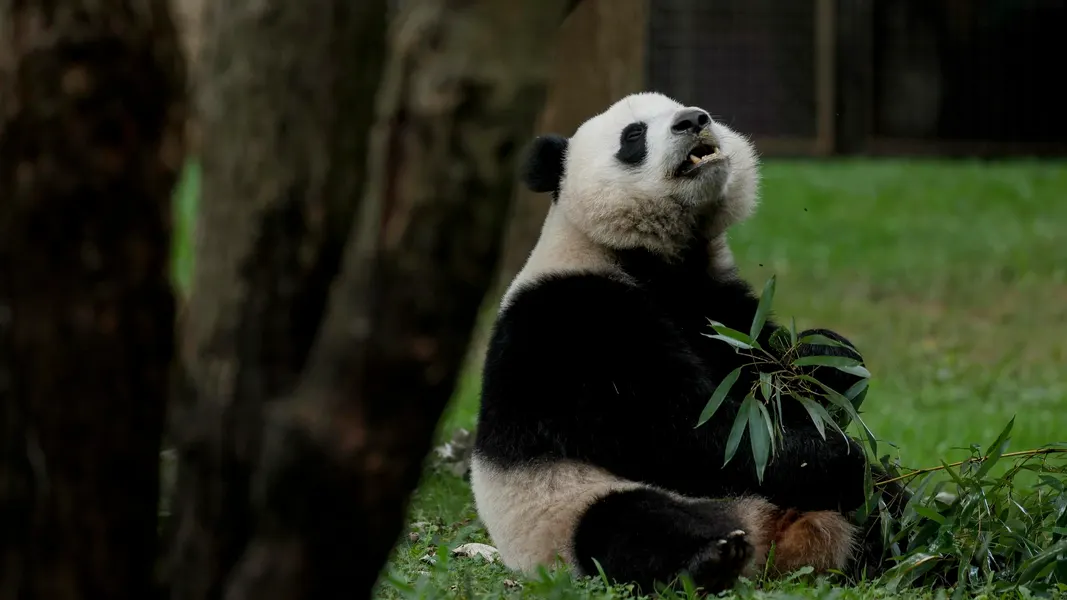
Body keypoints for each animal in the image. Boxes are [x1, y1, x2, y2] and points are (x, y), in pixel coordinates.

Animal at [471, 91, 887, 589]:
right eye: (633, 136)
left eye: (683, 106)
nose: (693, 121)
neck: (648, 256)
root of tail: (776, 537)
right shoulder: (575, 319)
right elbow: (681, 430)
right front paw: (833, 456)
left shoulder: (714, 301)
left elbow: (766, 375)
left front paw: (824, 357)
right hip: (561, 506)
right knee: (627, 524)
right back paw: (711, 558)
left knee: (888, 505)